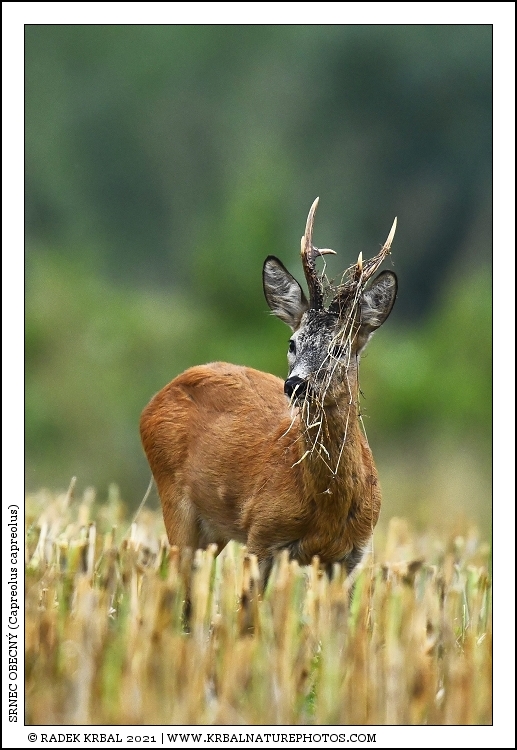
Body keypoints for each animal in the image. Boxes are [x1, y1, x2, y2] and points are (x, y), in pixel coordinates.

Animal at [140, 198, 398, 590]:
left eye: (339, 348)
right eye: (292, 342)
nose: (295, 384)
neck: (326, 505)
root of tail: (154, 401)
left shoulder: (350, 556)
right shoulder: (261, 533)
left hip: (214, 529)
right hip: (174, 499)